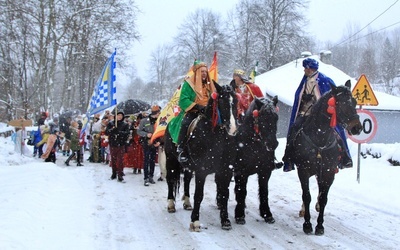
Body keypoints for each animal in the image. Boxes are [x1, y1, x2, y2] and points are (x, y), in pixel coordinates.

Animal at [162, 81, 238, 230]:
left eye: (236, 101)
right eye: (222, 101)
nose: (232, 129)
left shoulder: (225, 170)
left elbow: (224, 195)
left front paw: (225, 220)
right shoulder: (201, 170)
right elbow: (199, 195)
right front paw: (195, 221)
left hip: (187, 166)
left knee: (186, 180)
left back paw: (187, 203)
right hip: (170, 159)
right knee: (170, 179)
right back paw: (171, 204)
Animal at [233, 95, 280, 225]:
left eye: (276, 118)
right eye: (262, 118)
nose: (273, 144)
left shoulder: (265, 171)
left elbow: (264, 191)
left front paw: (267, 214)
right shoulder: (241, 172)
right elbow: (242, 191)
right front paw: (239, 215)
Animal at [290, 81, 362, 235]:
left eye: (354, 102)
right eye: (340, 103)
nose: (357, 128)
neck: (320, 140)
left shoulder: (328, 173)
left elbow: (323, 198)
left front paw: (320, 226)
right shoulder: (303, 171)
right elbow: (306, 196)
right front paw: (307, 225)